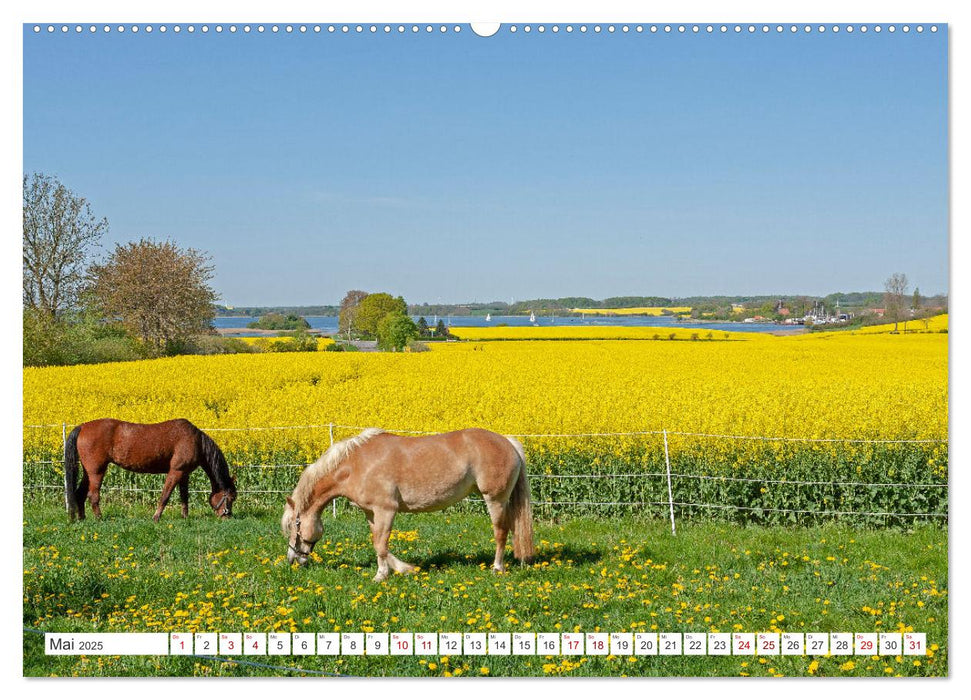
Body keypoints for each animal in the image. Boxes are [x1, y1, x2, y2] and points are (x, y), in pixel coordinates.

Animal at [64, 418, 237, 524]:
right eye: (230, 498)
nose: (227, 516)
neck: (196, 440)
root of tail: (82, 427)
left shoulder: (184, 474)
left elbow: (184, 497)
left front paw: (185, 517)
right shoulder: (176, 471)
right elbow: (165, 496)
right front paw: (156, 517)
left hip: (88, 472)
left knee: (79, 494)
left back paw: (82, 518)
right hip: (96, 472)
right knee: (93, 496)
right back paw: (99, 518)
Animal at [280, 430, 536, 584]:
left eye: (295, 525)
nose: (293, 559)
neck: (357, 465)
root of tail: (508, 442)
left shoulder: (386, 510)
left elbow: (381, 545)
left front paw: (386, 574)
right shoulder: (371, 513)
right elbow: (377, 543)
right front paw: (395, 569)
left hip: (495, 500)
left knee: (501, 533)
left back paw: (497, 568)